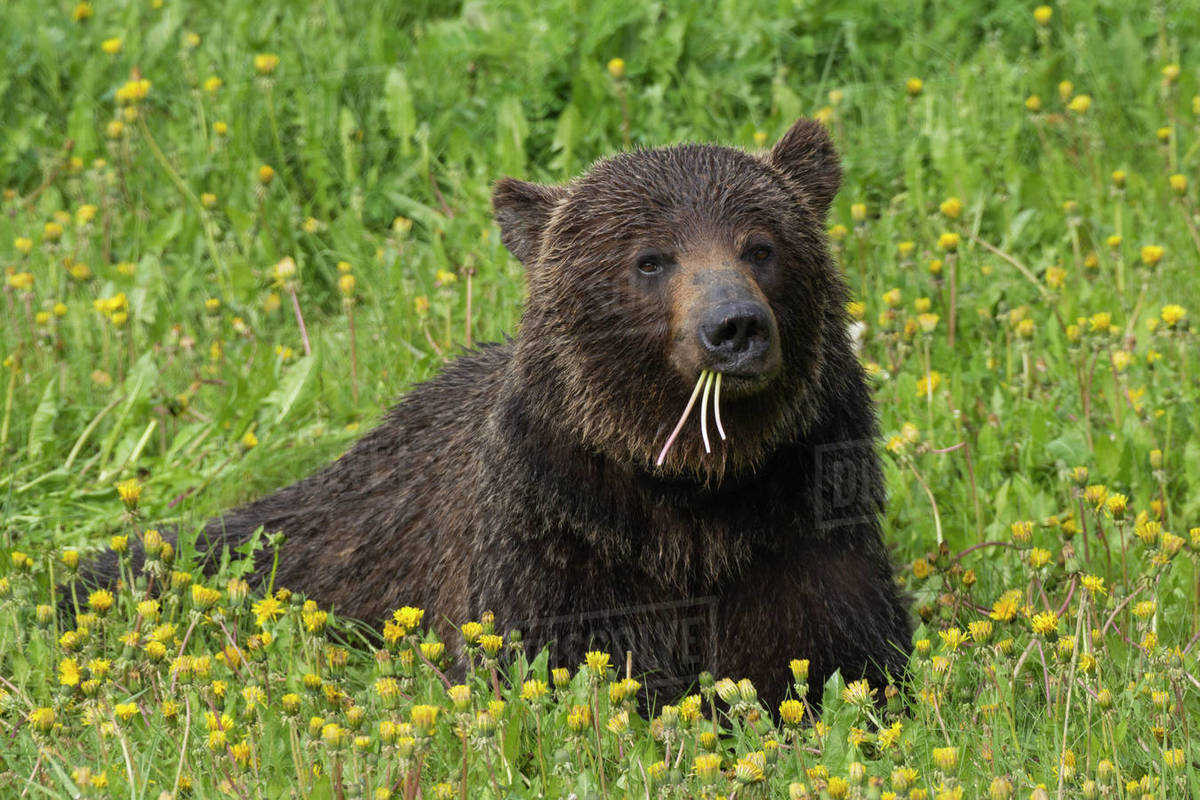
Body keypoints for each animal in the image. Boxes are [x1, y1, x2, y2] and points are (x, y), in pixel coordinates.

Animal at [83, 117, 911, 708]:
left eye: (761, 246)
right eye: (650, 259)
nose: (734, 327)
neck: (689, 497)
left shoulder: (802, 521)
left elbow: (833, 653)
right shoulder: (556, 534)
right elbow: (551, 658)